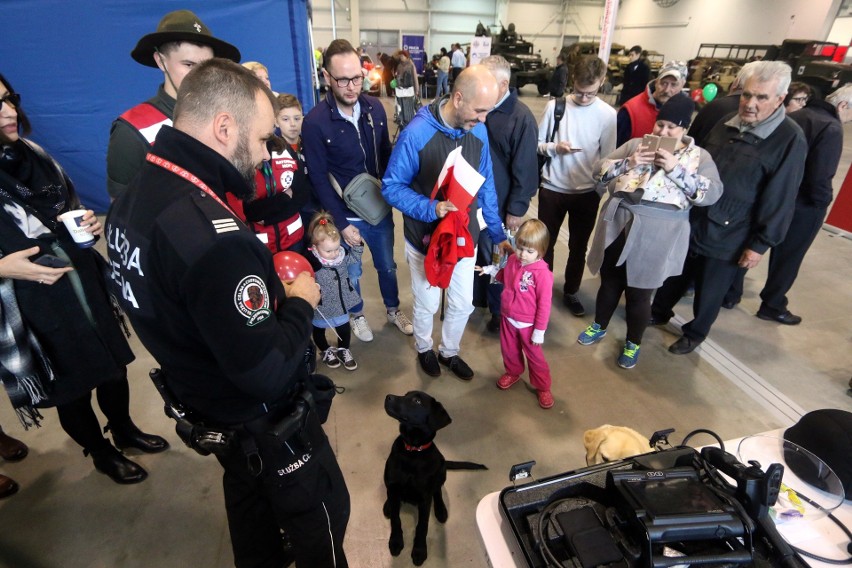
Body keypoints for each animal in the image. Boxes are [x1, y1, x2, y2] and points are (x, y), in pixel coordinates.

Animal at [384, 390, 486, 564]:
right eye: (405, 394)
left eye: (417, 401)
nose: (387, 396)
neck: (412, 452)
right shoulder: (393, 485)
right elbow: (396, 520)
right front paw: (396, 541)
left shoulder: (425, 499)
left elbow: (422, 526)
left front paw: (419, 550)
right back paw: (388, 505)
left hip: (442, 469)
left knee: (438, 490)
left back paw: (441, 510)